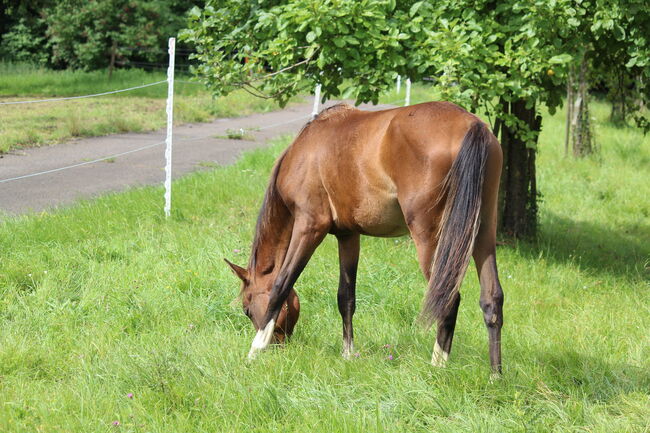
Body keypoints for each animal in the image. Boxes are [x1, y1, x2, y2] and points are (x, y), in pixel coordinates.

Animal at [225, 101, 504, 374]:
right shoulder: (348, 235)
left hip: (432, 238)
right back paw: (495, 375)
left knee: (448, 298)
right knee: (491, 299)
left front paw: (254, 351)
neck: (304, 151)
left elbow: (281, 284)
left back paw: (437, 366)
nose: (281, 347)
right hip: (481, 234)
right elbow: (346, 297)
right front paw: (348, 354)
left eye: (247, 309)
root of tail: (472, 124)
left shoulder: (309, 226)